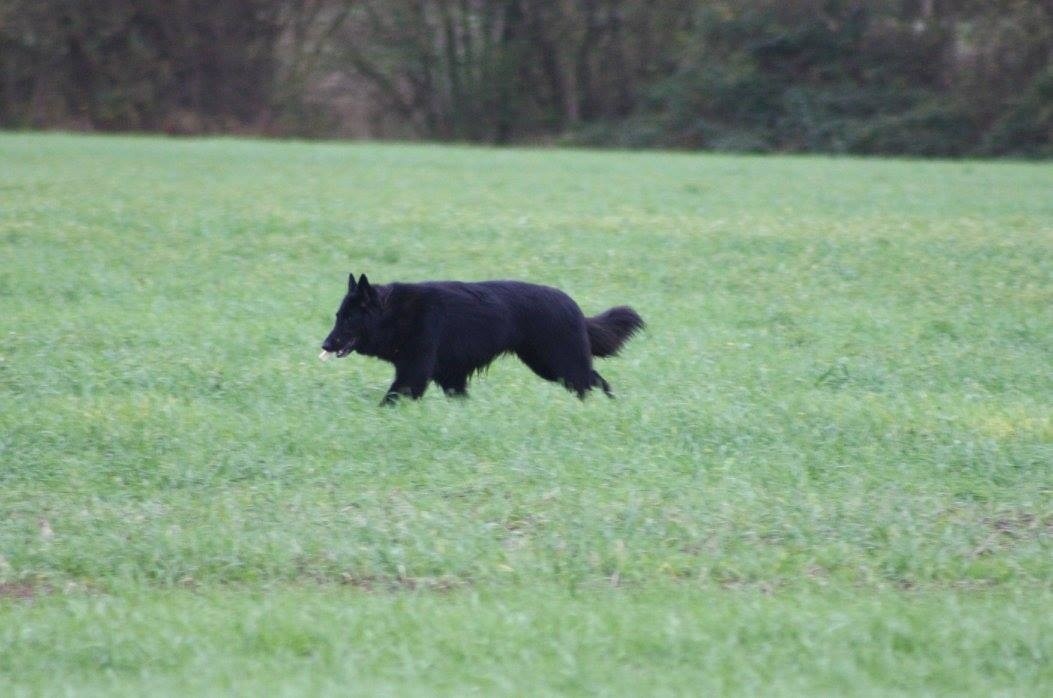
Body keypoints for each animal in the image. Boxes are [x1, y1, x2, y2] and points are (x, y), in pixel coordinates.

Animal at [320, 273, 640, 404]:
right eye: (337, 316)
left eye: (349, 318)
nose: (324, 345)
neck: (394, 313)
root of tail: (574, 307)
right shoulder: (450, 376)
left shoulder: (414, 371)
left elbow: (393, 396)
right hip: (549, 364)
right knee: (594, 378)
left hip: (558, 363)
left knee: (591, 380)